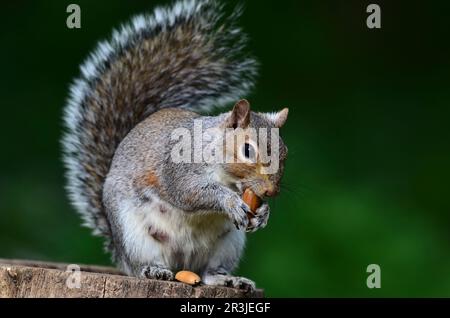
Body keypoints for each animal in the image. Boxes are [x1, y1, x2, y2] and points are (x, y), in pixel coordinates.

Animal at [61, 0, 288, 290]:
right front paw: (229, 202)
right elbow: (190, 191)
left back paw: (229, 279)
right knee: (142, 266)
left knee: (209, 273)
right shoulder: (178, 167)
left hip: (228, 244)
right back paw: (154, 271)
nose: (271, 191)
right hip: (135, 236)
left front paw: (264, 214)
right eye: (247, 150)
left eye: (285, 153)